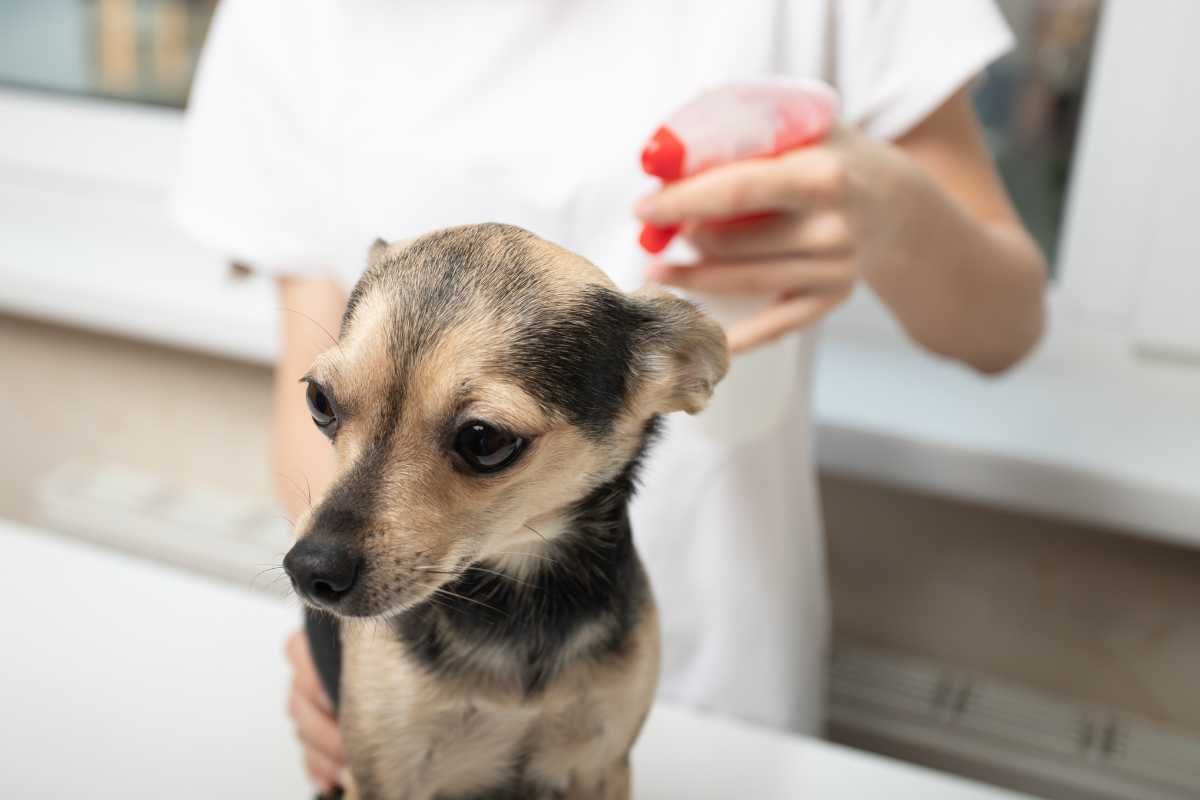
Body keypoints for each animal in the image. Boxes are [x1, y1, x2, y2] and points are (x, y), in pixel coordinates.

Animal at [284, 224, 724, 800]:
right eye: (319, 401)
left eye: (484, 441)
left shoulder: (603, 765)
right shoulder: (383, 775)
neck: (516, 596)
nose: (309, 568)